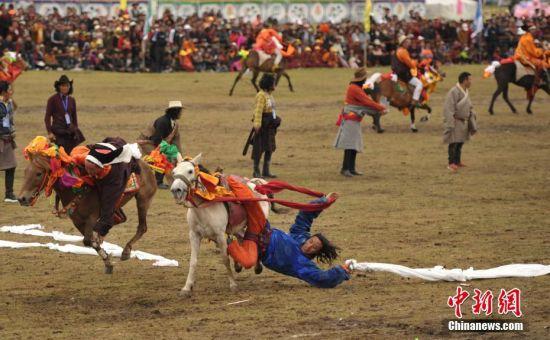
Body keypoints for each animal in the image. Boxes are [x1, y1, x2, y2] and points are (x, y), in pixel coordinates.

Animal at [18, 141, 157, 274]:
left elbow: (88, 240)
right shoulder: (77, 221)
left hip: (143, 201)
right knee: (121, 219)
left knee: (142, 227)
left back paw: (126, 251)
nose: (22, 198)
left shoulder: (91, 217)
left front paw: (106, 257)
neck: (77, 188)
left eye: (39, 173)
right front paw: (107, 260)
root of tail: (146, 164)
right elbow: (89, 241)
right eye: (25, 171)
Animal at [170, 154, 270, 298]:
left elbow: (225, 259)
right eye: (174, 172)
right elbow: (193, 261)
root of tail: (255, 183)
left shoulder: (220, 236)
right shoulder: (194, 235)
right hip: (237, 228)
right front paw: (187, 287)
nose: (176, 190)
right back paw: (240, 264)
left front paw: (233, 285)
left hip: (257, 223)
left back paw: (257, 266)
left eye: (190, 171)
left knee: (256, 239)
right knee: (242, 238)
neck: (204, 207)